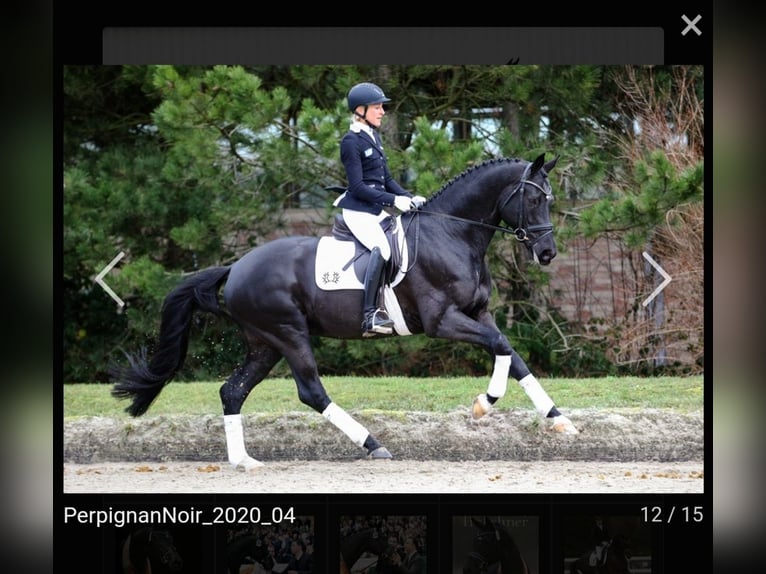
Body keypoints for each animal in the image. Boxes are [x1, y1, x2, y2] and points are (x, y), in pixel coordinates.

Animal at [112, 154, 576, 472]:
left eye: (549, 198)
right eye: (534, 198)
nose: (547, 253)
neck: (453, 233)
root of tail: (236, 267)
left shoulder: (478, 313)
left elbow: (511, 354)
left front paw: (558, 420)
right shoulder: (442, 321)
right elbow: (500, 347)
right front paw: (485, 403)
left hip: (264, 343)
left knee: (232, 391)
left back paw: (243, 461)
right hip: (288, 334)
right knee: (311, 391)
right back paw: (373, 444)